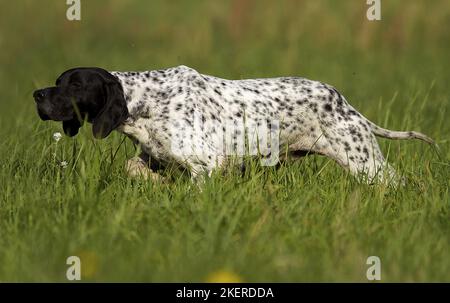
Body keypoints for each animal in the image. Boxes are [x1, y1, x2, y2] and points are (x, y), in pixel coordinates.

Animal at [32, 66, 436, 184]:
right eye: (58, 80)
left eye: (75, 84)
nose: (37, 94)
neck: (146, 101)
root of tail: (343, 102)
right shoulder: (155, 155)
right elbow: (136, 168)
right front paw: (157, 184)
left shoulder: (207, 167)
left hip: (365, 164)